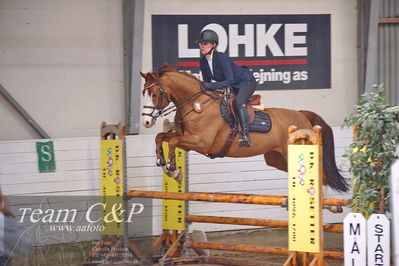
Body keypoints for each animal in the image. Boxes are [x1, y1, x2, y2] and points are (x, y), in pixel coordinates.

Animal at [141, 65, 350, 193]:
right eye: (143, 92)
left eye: (154, 94)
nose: (145, 122)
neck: (196, 104)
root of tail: (303, 115)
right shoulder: (187, 139)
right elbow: (162, 137)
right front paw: (163, 162)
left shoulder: (201, 142)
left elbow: (173, 141)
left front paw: (174, 170)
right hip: (277, 159)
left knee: (320, 174)